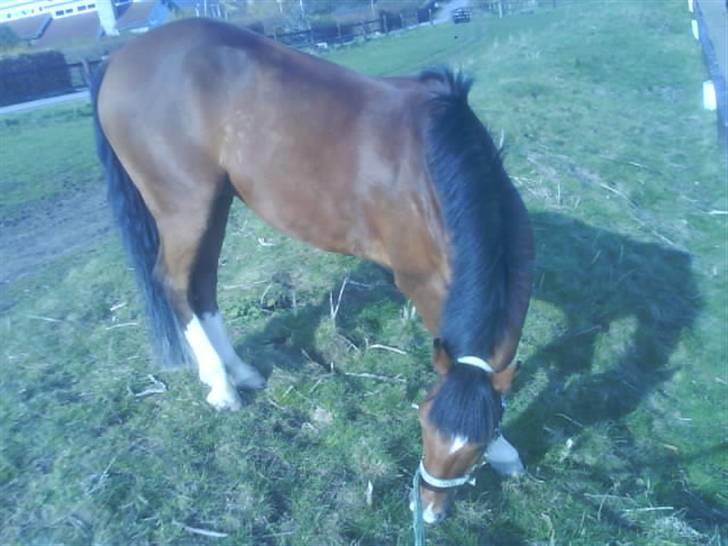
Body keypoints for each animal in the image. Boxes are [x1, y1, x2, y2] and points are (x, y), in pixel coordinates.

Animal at [90, 18, 534, 524]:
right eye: (422, 421)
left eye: (474, 445)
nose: (427, 512)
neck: (431, 167)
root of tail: (120, 58)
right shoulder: (422, 281)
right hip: (184, 206)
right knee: (175, 284)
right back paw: (221, 386)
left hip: (215, 203)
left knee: (202, 285)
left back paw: (239, 371)